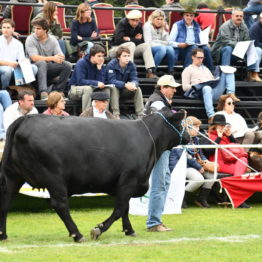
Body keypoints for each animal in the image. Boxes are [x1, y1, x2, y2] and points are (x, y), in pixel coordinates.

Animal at [0, 109, 188, 242]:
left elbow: (125, 208)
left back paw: (3, 235)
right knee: (60, 205)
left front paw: (129, 230)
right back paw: (77, 234)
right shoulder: (129, 180)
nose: (188, 136)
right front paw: (98, 229)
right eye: (181, 123)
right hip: (54, 177)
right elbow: (119, 208)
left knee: (6, 201)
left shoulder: (125, 185)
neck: (147, 137)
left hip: (13, 176)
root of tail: (26, 119)